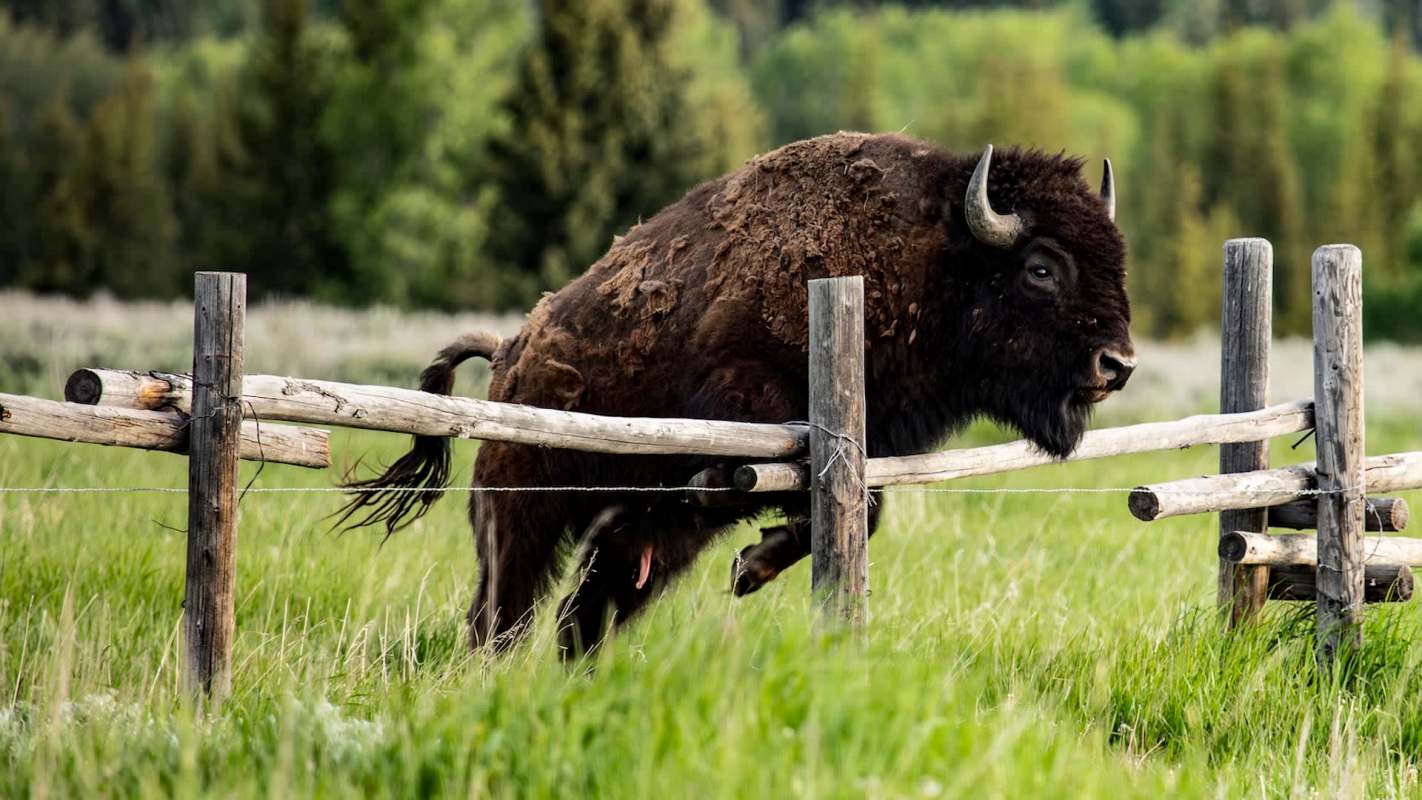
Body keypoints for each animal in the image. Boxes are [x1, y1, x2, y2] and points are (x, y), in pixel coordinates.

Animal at [340, 132, 1134, 656]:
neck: (927, 259)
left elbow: (866, 510)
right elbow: (812, 491)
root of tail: (509, 352)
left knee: (582, 615)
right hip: (522, 517)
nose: (1118, 363)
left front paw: (751, 566)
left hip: (631, 555)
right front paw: (748, 557)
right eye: (1041, 267)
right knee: (504, 612)